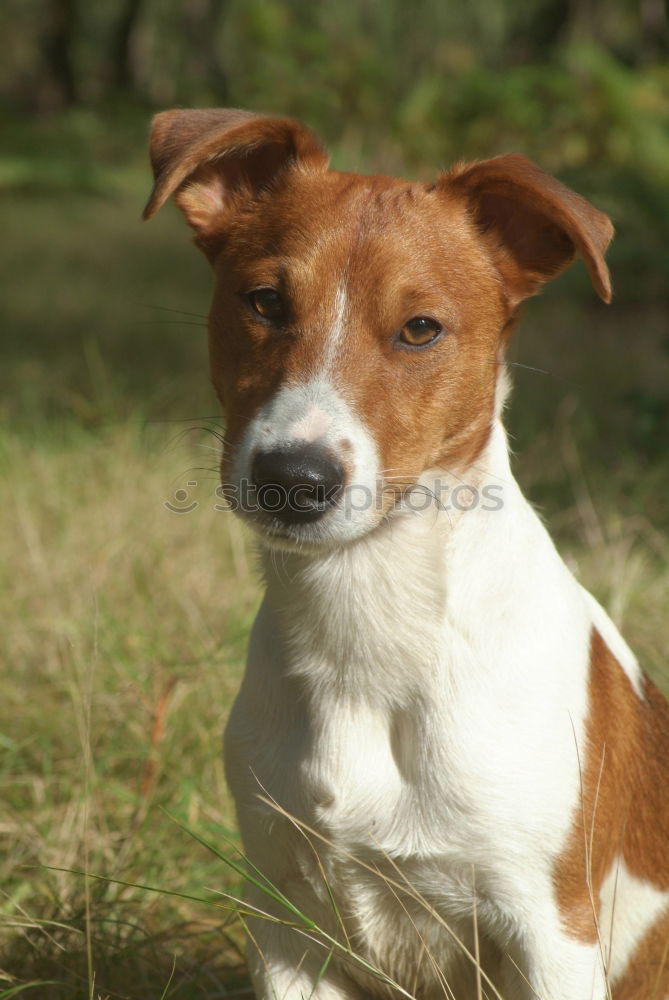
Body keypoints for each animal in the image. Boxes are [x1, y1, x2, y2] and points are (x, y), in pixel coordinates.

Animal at [145, 111, 668, 1000]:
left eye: (420, 328)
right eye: (264, 302)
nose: (292, 479)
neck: (368, 623)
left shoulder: (548, 925)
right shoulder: (286, 923)